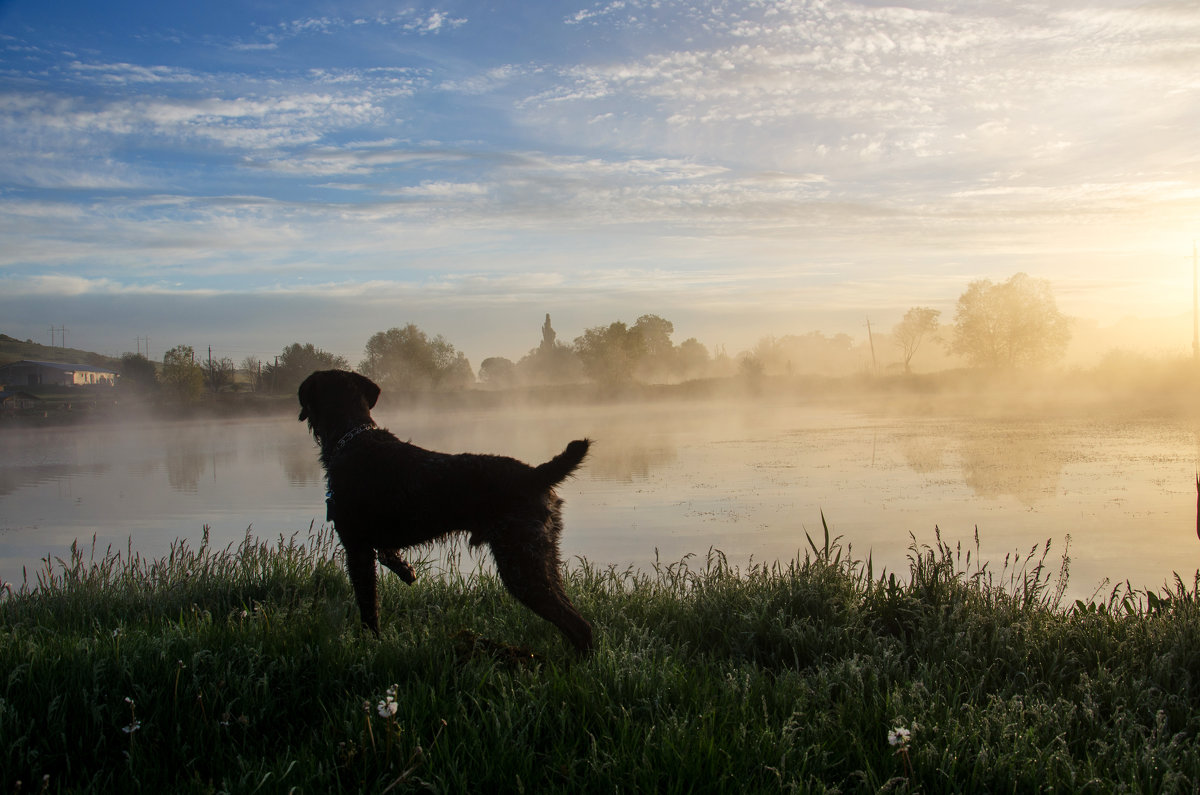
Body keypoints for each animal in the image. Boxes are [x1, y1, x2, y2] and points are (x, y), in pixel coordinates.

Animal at [297, 369, 592, 653]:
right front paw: (405, 570)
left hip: (521, 565)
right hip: (543, 558)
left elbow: (368, 608)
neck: (353, 437)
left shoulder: (357, 549)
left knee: (578, 625)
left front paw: (368, 646)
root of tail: (535, 474)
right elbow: (388, 559)